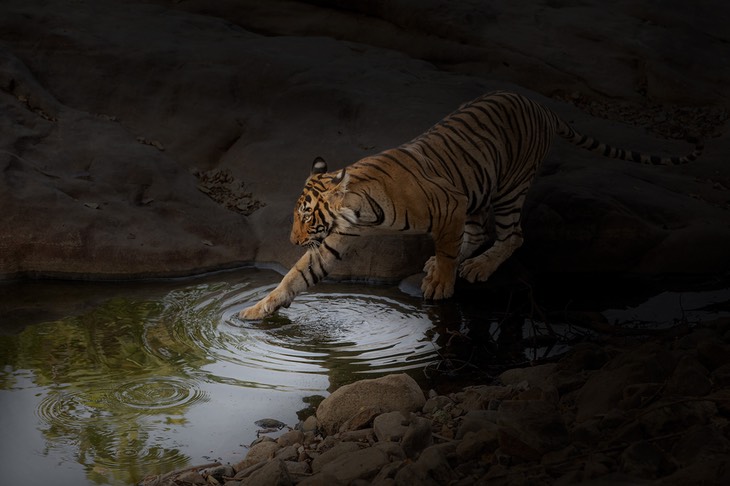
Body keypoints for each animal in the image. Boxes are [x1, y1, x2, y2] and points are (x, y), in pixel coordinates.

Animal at [237, 89, 700, 320]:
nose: (293, 240)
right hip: (480, 187)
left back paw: (475, 267)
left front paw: (441, 285)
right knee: (479, 232)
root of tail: (541, 105)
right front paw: (258, 309)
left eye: (306, 215)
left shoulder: (449, 204)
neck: (359, 209)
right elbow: (296, 276)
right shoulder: (337, 240)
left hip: (508, 187)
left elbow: (446, 249)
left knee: (511, 235)